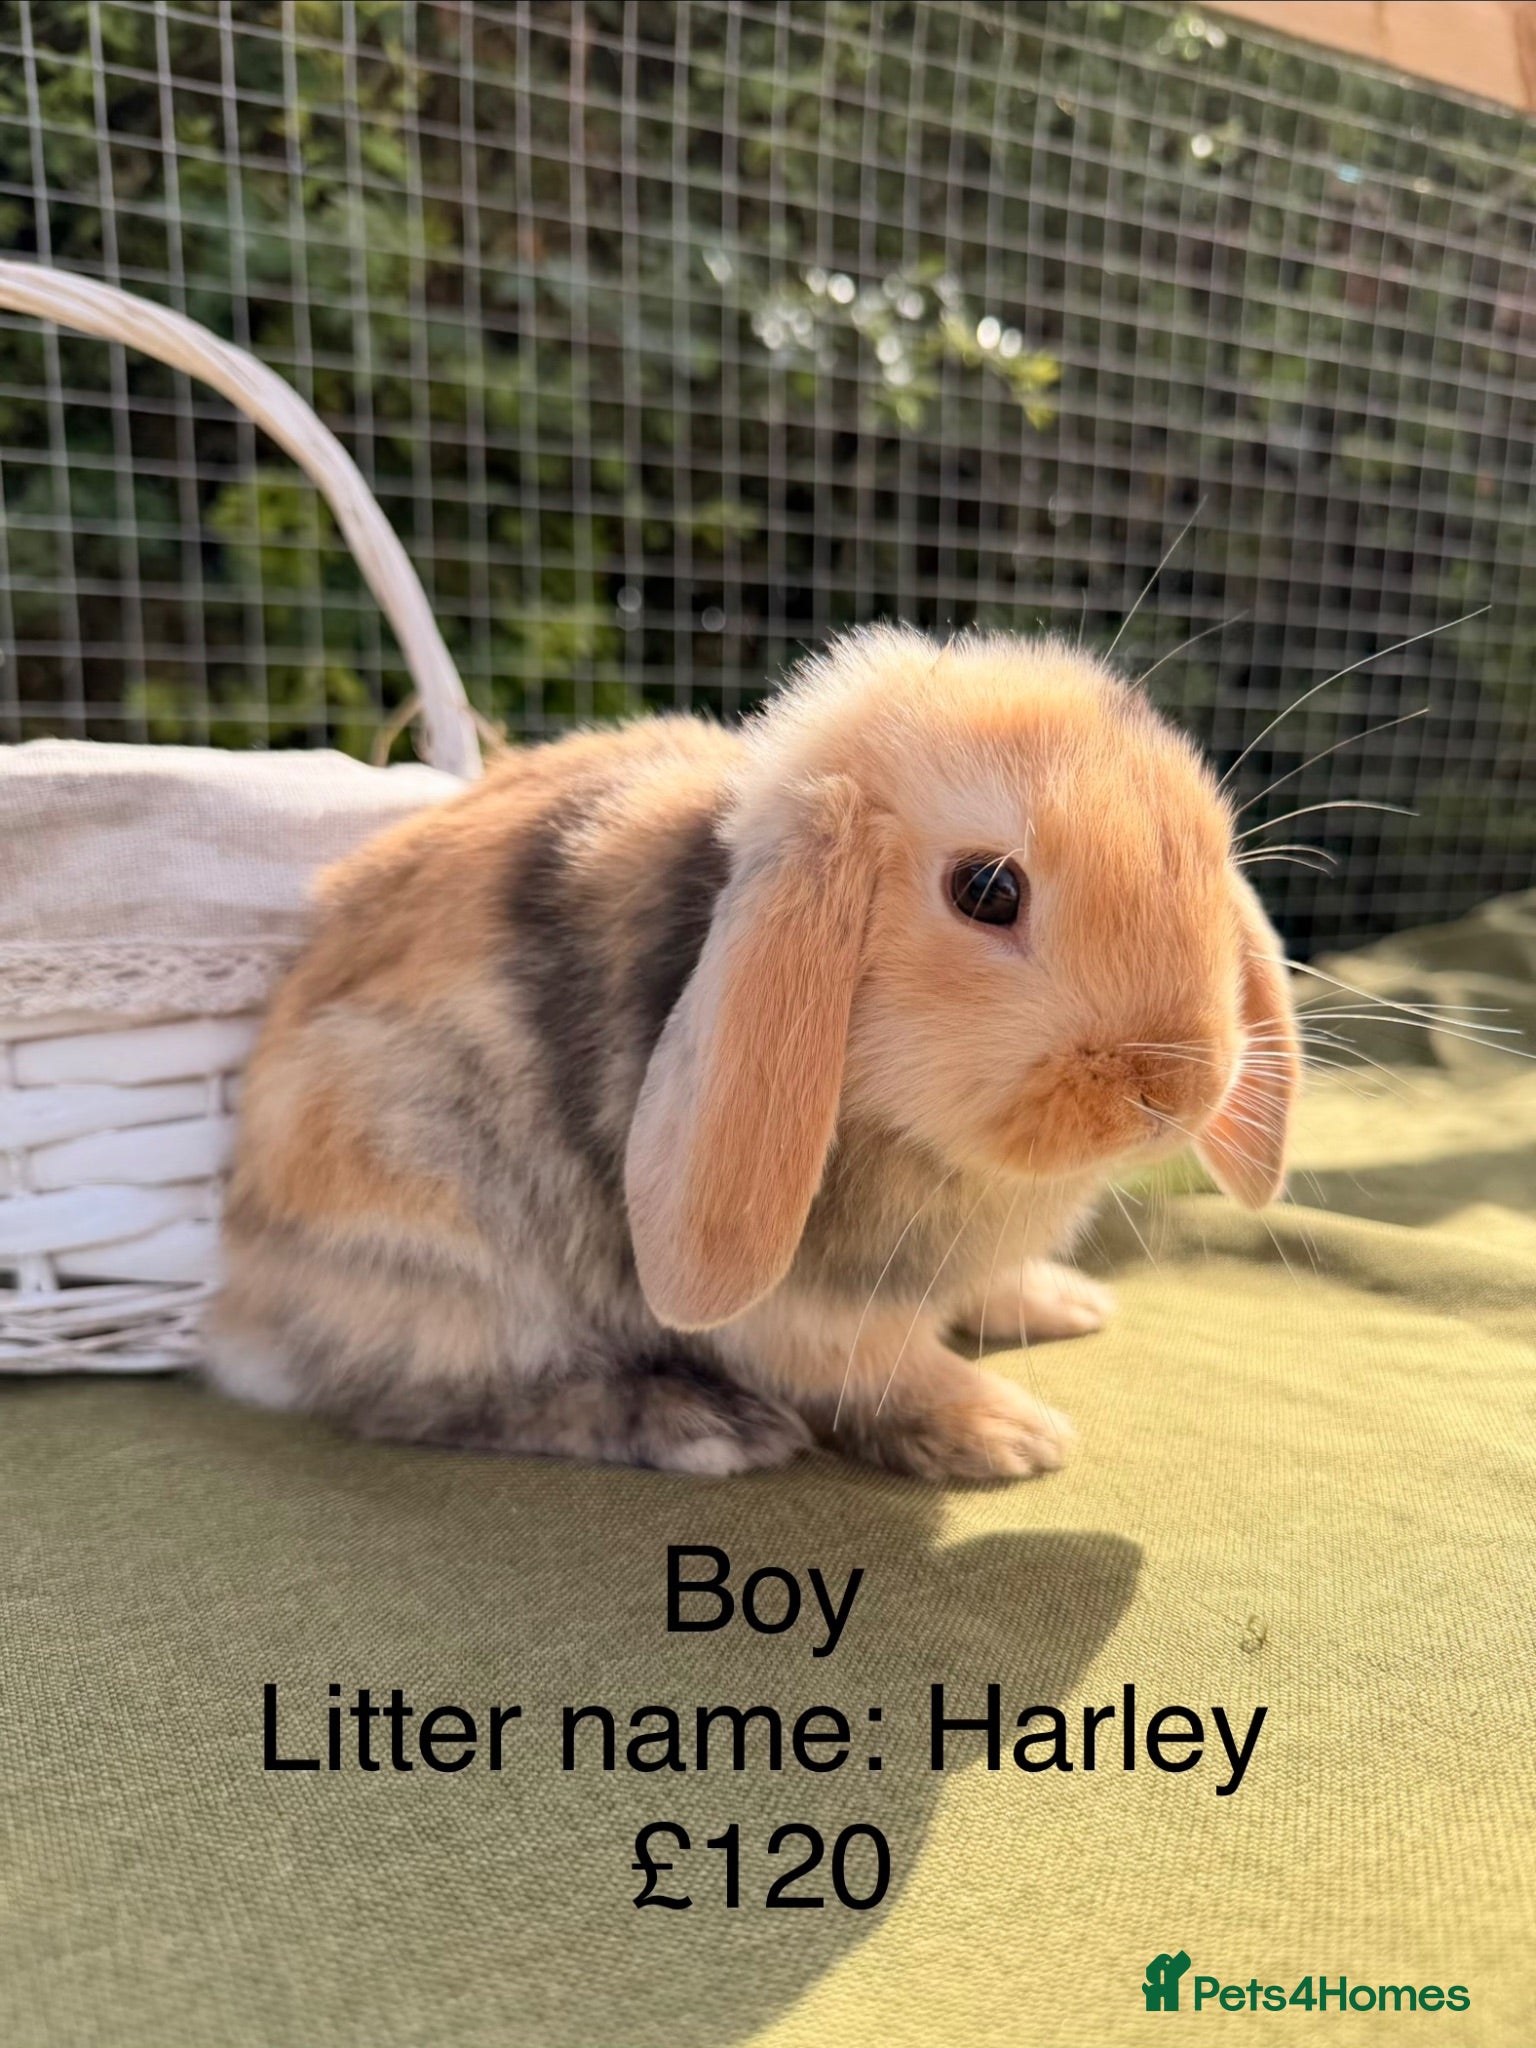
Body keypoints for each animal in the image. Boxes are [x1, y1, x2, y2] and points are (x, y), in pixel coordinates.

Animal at [208, 626, 1299, 1482]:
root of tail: (242, 1299)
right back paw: (703, 1426)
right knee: (420, 1396)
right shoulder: (801, 1308)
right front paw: (1009, 1434)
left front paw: (1062, 1304)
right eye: (987, 890)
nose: (1178, 1086)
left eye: (1212, 853)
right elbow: (878, 1364)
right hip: (438, 1238)